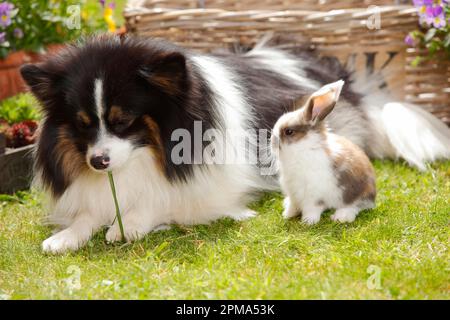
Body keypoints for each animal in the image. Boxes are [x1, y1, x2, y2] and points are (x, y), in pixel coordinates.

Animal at [270, 80, 376, 225]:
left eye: (289, 132)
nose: (272, 141)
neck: (303, 148)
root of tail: (373, 194)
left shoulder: (314, 196)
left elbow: (312, 209)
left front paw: (308, 222)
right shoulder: (293, 194)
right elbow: (293, 205)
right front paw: (288, 215)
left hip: (356, 193)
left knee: (356, 206)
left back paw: (340, 217)